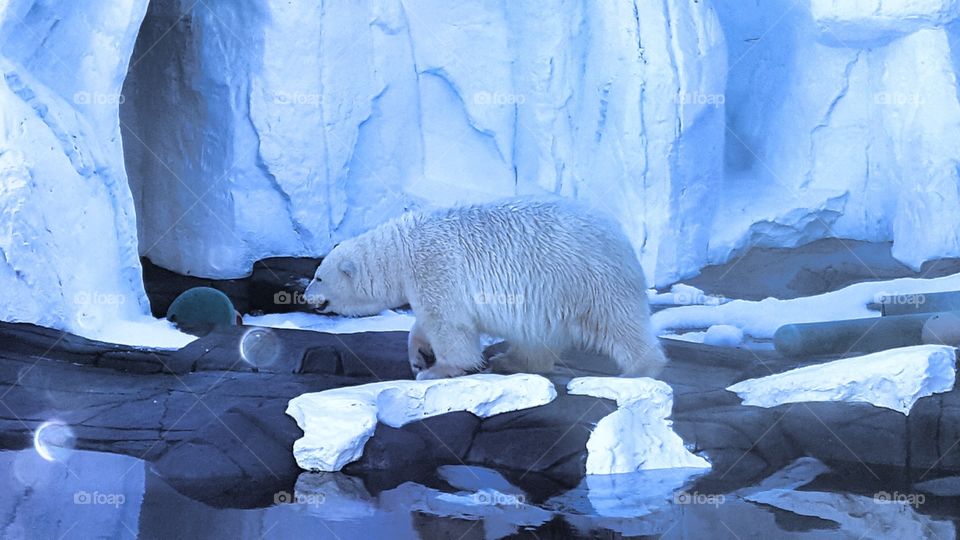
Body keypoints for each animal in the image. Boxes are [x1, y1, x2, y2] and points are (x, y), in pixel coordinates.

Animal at [304, 198, 667, 380]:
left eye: (319, 277)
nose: (306, 297)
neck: (400, 250)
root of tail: (620, 236)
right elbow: (429, 321)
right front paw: (419, 357)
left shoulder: (434, 264)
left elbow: (448, 323)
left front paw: (439, 370)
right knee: (537, 337)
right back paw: (510, 361)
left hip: (586, 278)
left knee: (618, 322)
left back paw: (641, 369)